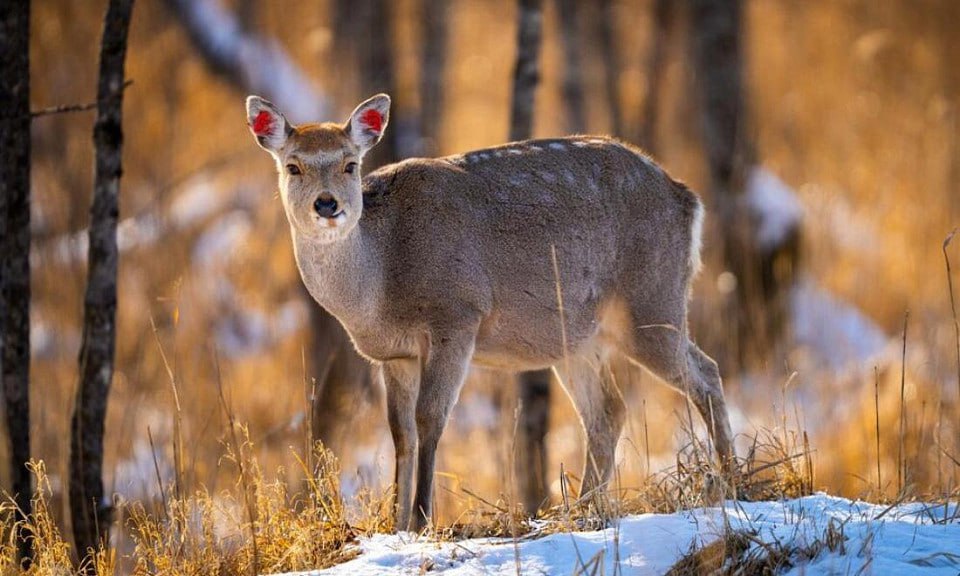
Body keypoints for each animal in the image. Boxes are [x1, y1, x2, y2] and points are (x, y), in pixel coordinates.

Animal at [246, 93, 736, 532]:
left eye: (350, 164)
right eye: (293, 166)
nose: (327, 204)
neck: (380, 281)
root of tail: (688, 200)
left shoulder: (457, 315)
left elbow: (430, 418)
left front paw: (422, 520)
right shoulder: (394, 355)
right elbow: (400, 431)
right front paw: (394, 523)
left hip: (651, 298)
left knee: (706, 372)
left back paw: (731, 481)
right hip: (577, 337)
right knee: (608, 412)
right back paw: (582, 509)